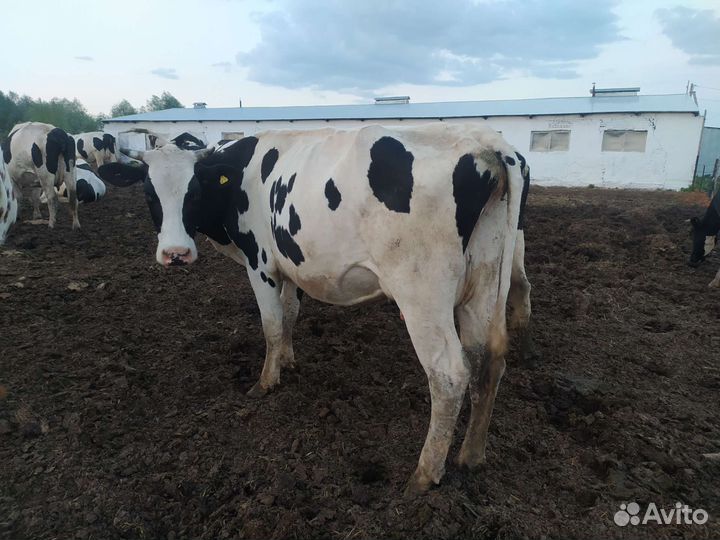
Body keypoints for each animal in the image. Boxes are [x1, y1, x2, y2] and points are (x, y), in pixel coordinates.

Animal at [100, 124, 527, 495]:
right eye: (149, 193)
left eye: (194, 192)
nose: (176, 254)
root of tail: (486, 143)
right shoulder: (291, 265)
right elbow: (290, 315)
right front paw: (288, 361)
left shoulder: (261, 262)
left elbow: (272, 324)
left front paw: (266, 382)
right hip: (483, 285)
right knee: (489, 361)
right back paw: (471, 454)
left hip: (422, 292)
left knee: (450, 374)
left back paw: (425, 473)